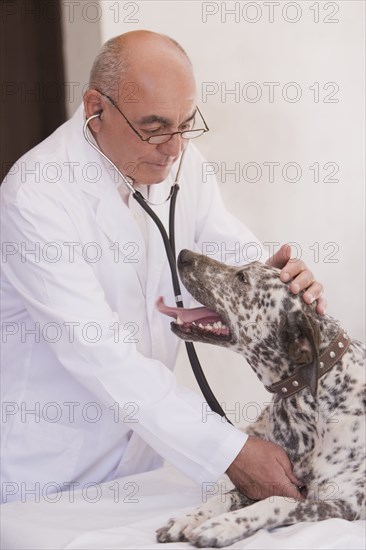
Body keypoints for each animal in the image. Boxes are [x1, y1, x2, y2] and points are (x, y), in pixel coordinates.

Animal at [156, 252, 364, 548]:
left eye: (243, 278)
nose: (184, 254)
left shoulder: (344, 503)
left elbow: (278, 502)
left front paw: (224, 524)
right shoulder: (264, 479)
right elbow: (227, 495)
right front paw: (191, 517)